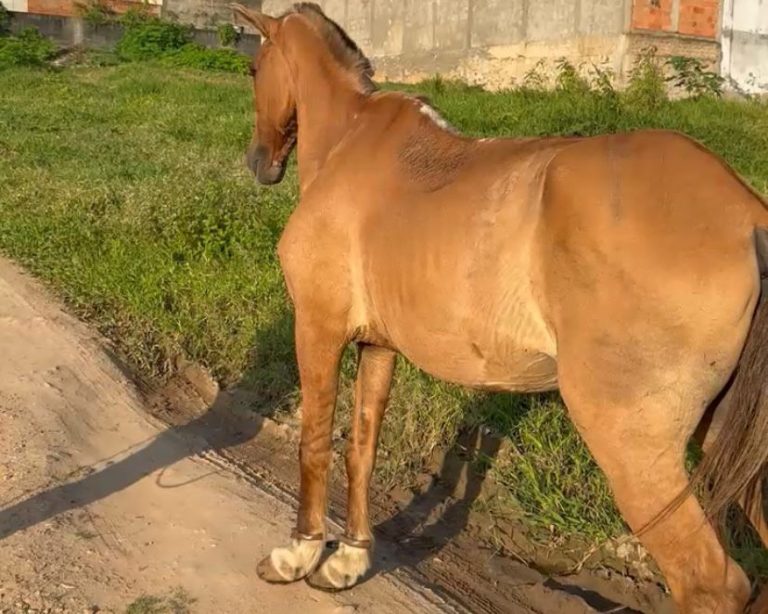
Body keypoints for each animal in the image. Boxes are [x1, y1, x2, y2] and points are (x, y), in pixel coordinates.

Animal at [231, 3, 768, 611]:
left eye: (253, 69)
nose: (259, 161)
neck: (350, 140)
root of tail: (748, 217)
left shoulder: (317, 328)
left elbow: (315, 440)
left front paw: (297, 554)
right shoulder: (378, 346)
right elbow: (361, 449)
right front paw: (348, 560)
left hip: (632, 446)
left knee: (707, 582)